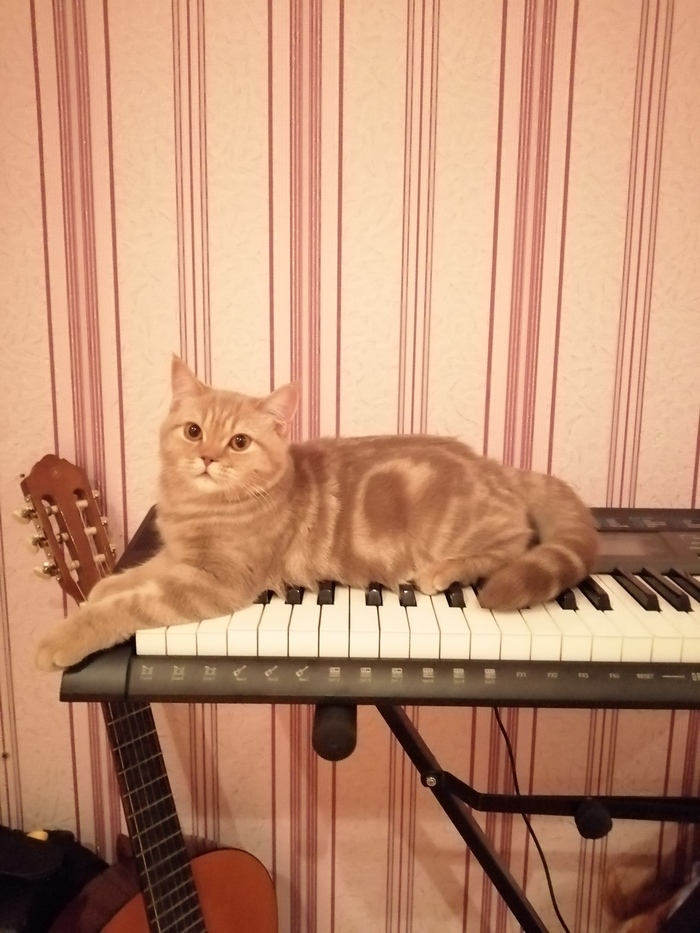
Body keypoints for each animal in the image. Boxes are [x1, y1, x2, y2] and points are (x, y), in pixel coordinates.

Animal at [35, 356, 598, 671]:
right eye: (193, 431)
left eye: (239, 442)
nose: (208, 458)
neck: (198, 506)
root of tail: (498, 467)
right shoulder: (181, 560)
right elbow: (135, 576)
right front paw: (102, 587)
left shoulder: (212, 582)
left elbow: (132, 605)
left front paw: (67, 635)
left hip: (480, 535)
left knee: (514, 543)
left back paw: (443, 571)